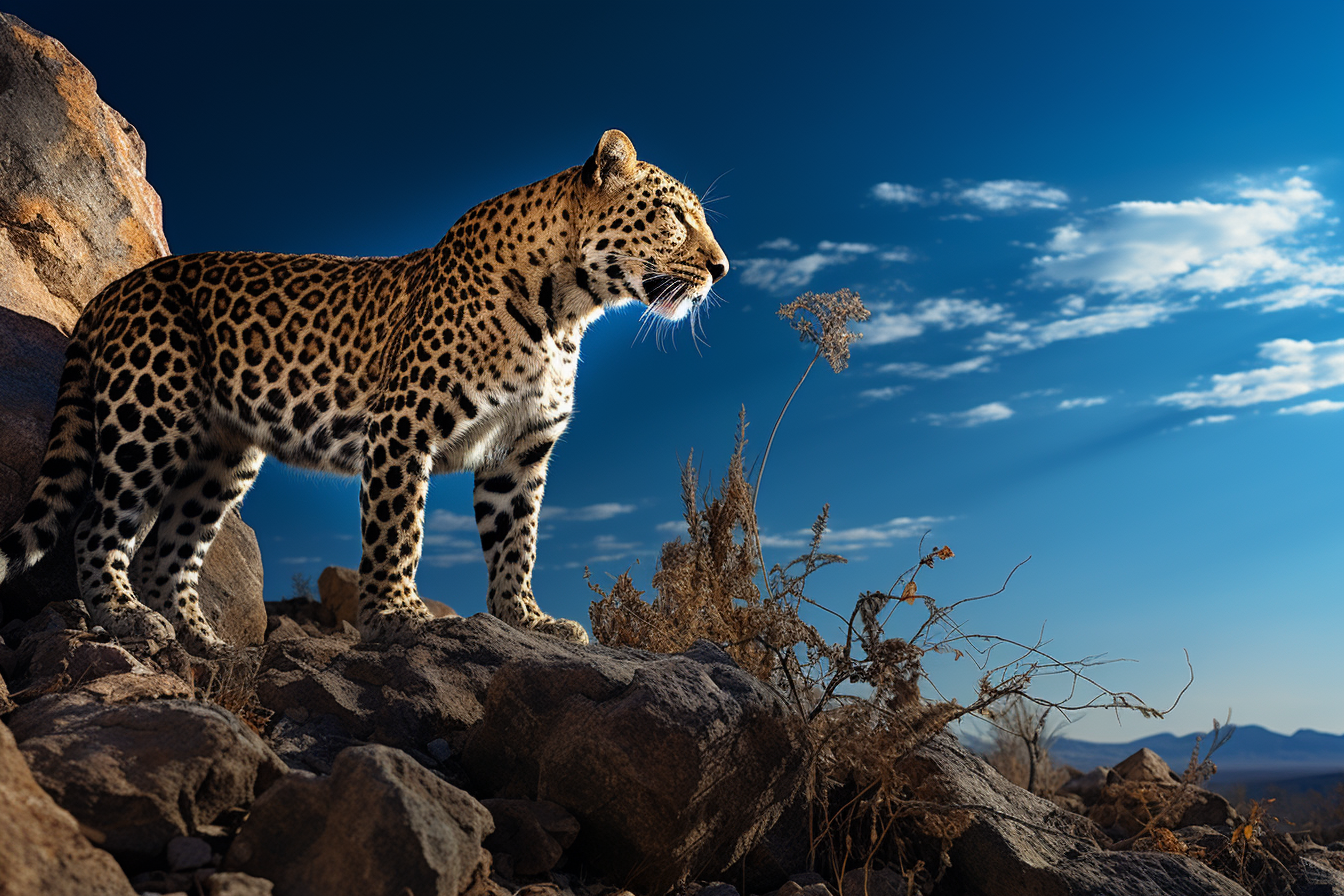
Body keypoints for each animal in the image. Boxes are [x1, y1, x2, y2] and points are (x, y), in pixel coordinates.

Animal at [0, 129, 731, 655]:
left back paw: (204, 643)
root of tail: (110, 291)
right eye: (674, 215)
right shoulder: (403, 427)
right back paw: (125, 619)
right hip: (149, 418)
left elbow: (516, 542)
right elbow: (398, 529)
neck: (567, 311)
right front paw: (396, 616)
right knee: (99, 525)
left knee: (166, 552)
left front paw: (525, 620)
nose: (722, 268)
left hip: (222, 456)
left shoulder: (521, 454)